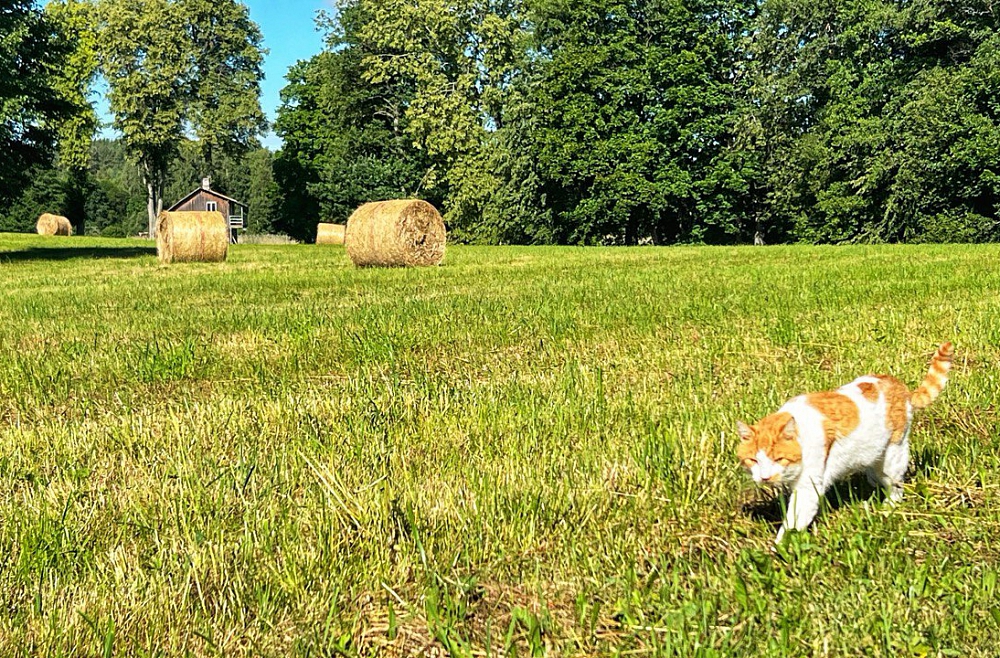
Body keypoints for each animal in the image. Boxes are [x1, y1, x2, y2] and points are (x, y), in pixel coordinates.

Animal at [740, 340, 956, 540]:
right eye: (753, 460)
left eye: (778, 459)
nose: (765, 477)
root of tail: (902, 388)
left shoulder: (808, 487)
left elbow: (793, 521)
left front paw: (780, 548)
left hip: (893, 456)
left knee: (895, 486)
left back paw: (888, 508)